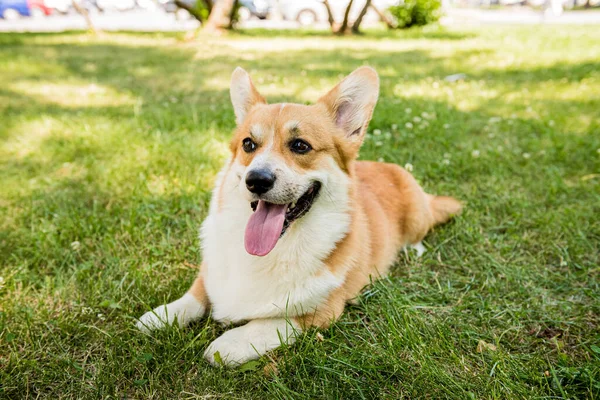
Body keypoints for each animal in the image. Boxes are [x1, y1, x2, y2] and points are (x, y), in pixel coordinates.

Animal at [136, 67, 462, 368]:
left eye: (300, 145)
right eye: (248, 144)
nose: (256, 180)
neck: (273, 251)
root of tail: (390, 166)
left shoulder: (320, 311)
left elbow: (271, 323)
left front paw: (227, 344)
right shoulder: (210, 273)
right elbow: (195, 295)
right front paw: (161, 316)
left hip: (418, 216)